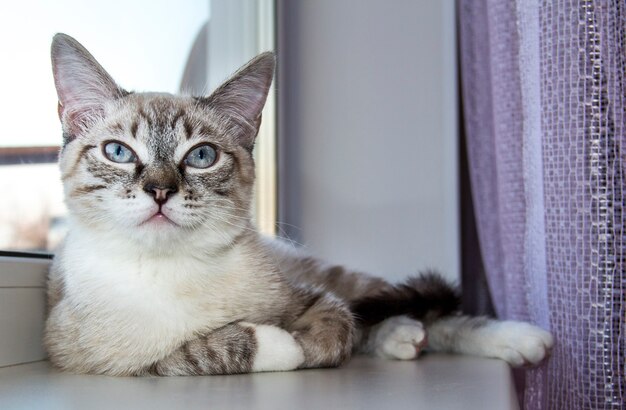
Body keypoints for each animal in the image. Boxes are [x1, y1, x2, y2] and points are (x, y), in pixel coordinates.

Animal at [44, 33, 552, 376]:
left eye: (202, 157)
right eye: (119, 152)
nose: (160, 190)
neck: (169, 274)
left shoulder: (314, 299)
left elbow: (330, 335)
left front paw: (292, 342)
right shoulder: (91, 360)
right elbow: (200, 351)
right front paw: (272, 341)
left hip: (339, 277)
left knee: (401, 307)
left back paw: (519, 339)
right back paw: (405, 337)